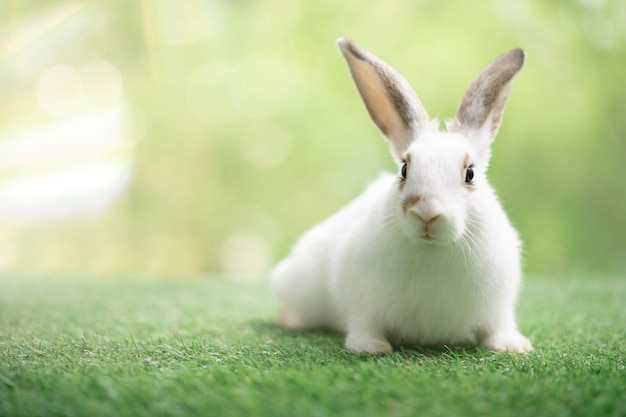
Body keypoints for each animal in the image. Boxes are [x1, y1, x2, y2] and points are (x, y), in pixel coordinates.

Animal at [270, 37, 532, 352]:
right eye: (405, 169)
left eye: (470, 173)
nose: (427, 212)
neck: (432, 251)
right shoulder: (363, 302)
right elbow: (365, 325)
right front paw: (370, 347)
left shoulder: (497, 306)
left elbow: (495, 328)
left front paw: (512, 346)